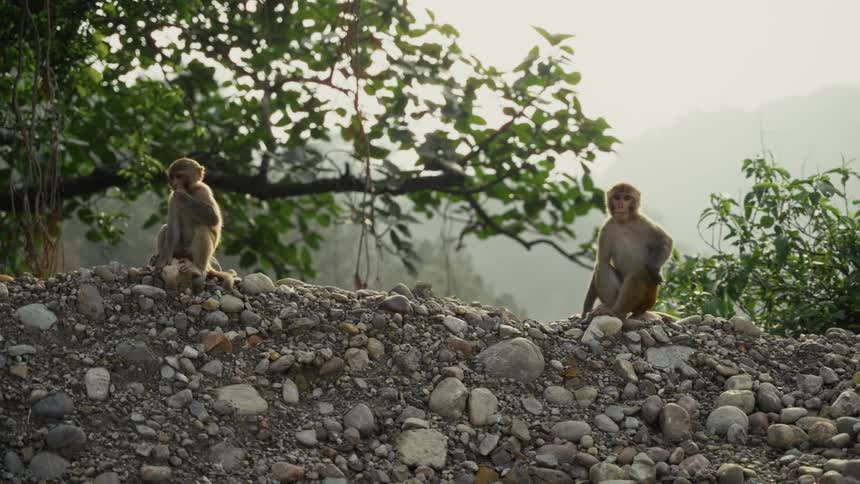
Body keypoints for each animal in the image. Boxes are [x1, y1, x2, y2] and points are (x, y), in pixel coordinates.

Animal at [152, 157, 234, 290]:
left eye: (179, 176)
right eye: (172, 177)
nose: (175, 184)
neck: (190, 190)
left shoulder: (203, 189)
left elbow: (213, 217)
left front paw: (182, 194)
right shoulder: (172, 198)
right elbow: (173, 228)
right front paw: (162, 261)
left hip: (193, 255)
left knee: (202, 229)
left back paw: (198, 268)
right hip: (180, 251)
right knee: (166, 228)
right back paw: (159, 257)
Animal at [582, 182, 673, 326]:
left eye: (626, 198)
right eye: (617, 198)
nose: (620, 205)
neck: (624, 223)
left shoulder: (643, 221)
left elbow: (665, 241)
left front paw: (654, 270)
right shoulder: (606, 228)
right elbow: (602, 260)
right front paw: (586, 309)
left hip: (647, 300)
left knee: (639, 272)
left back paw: (617, 312)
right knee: (603, 265)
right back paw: (610, 308)